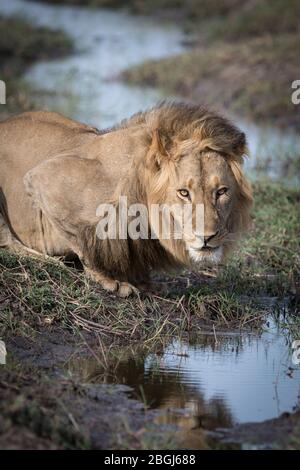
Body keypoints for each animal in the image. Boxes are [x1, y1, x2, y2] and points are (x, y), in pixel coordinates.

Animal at [0, 102, 252, 298]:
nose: (207, 237)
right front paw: (109, 280)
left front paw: (144, 281)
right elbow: (83, 243)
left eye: (221, 191)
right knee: (9, 243)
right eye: (183, 193)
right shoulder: (42, 178)